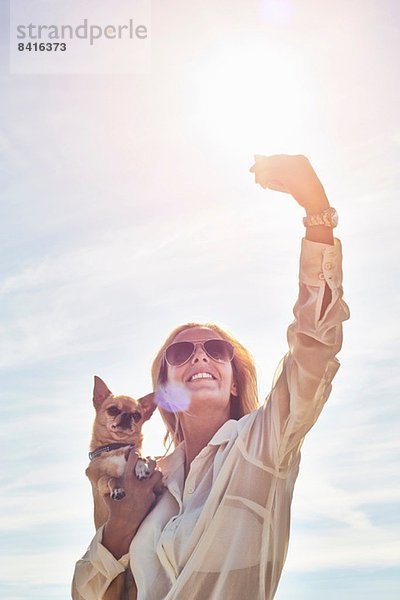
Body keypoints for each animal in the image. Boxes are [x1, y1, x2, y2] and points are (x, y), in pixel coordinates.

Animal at [85, 376, 155, 600]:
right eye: (113, 410)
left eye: (137, 415)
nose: (127, 416)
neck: (116, 448)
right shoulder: (99, 482)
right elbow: (110, 477)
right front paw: (118, 488)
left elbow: (141, 455)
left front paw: (141, 466)